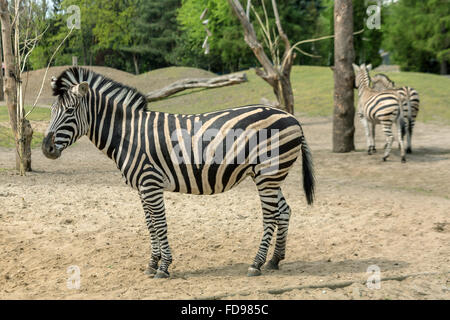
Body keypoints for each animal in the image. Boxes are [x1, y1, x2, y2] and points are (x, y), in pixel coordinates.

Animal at [43, 67, 316, 278]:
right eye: (51, 112)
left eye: (69, 112)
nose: (46, 148)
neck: (128, 134)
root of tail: (291, 116)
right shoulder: (142, 187)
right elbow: (150, 224)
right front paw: (151, 264)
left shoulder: (150, 183)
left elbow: (160, 224)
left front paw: (163, 267)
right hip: (269, 176)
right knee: (284, 211)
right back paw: (274, 260)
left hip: (267, 173)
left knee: (271, 216)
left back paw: (256, 264)